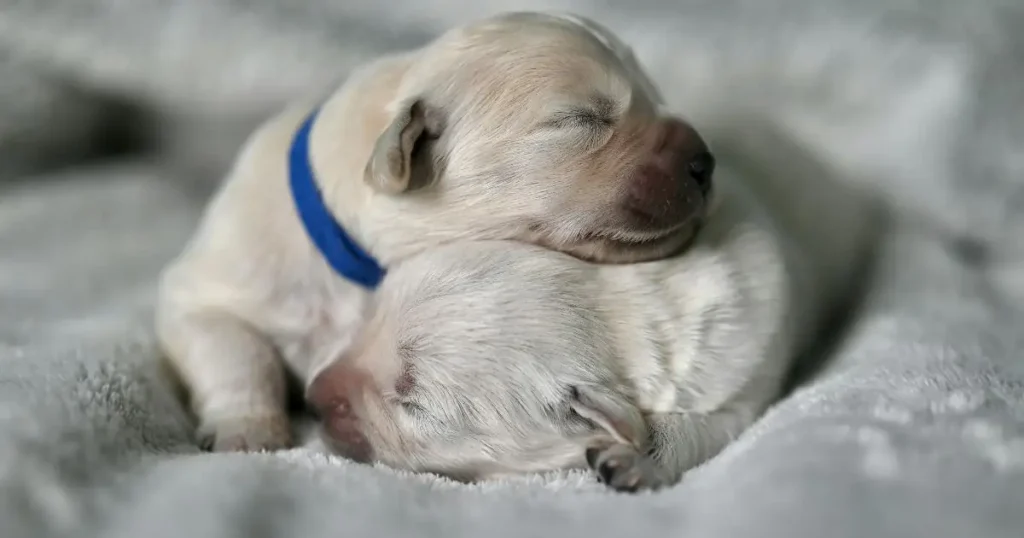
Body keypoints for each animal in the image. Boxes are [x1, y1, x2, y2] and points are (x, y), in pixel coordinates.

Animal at [303, 140, 880, 487]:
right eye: (371, 316)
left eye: (415, 404)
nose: (312, 397)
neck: (626, 306)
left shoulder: (743, 375)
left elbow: (705, 429)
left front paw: (637, 458)